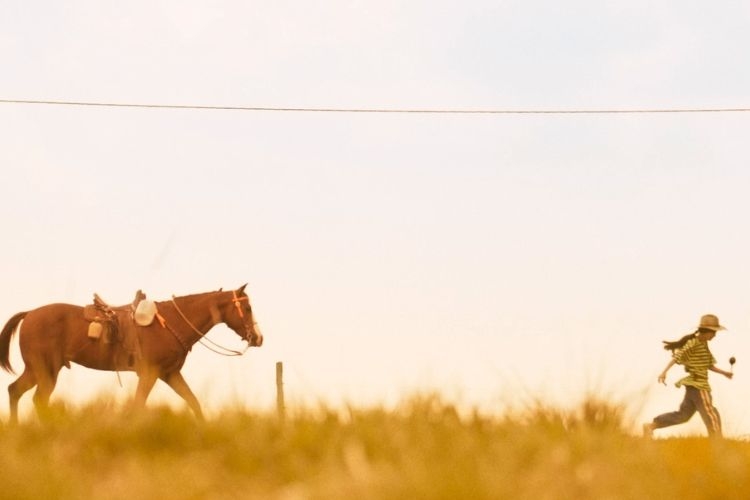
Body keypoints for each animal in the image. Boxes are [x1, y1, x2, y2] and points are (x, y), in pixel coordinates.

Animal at [0, 284, 263, 423]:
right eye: (248, 307)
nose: (258, 338)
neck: (172, 323)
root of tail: (29, 314)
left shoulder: (170, 375)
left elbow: (193, 402)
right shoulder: (150, 374)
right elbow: (138, 406)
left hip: (38, 371)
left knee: (16, 392)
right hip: (45, 370)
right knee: (36, 398)